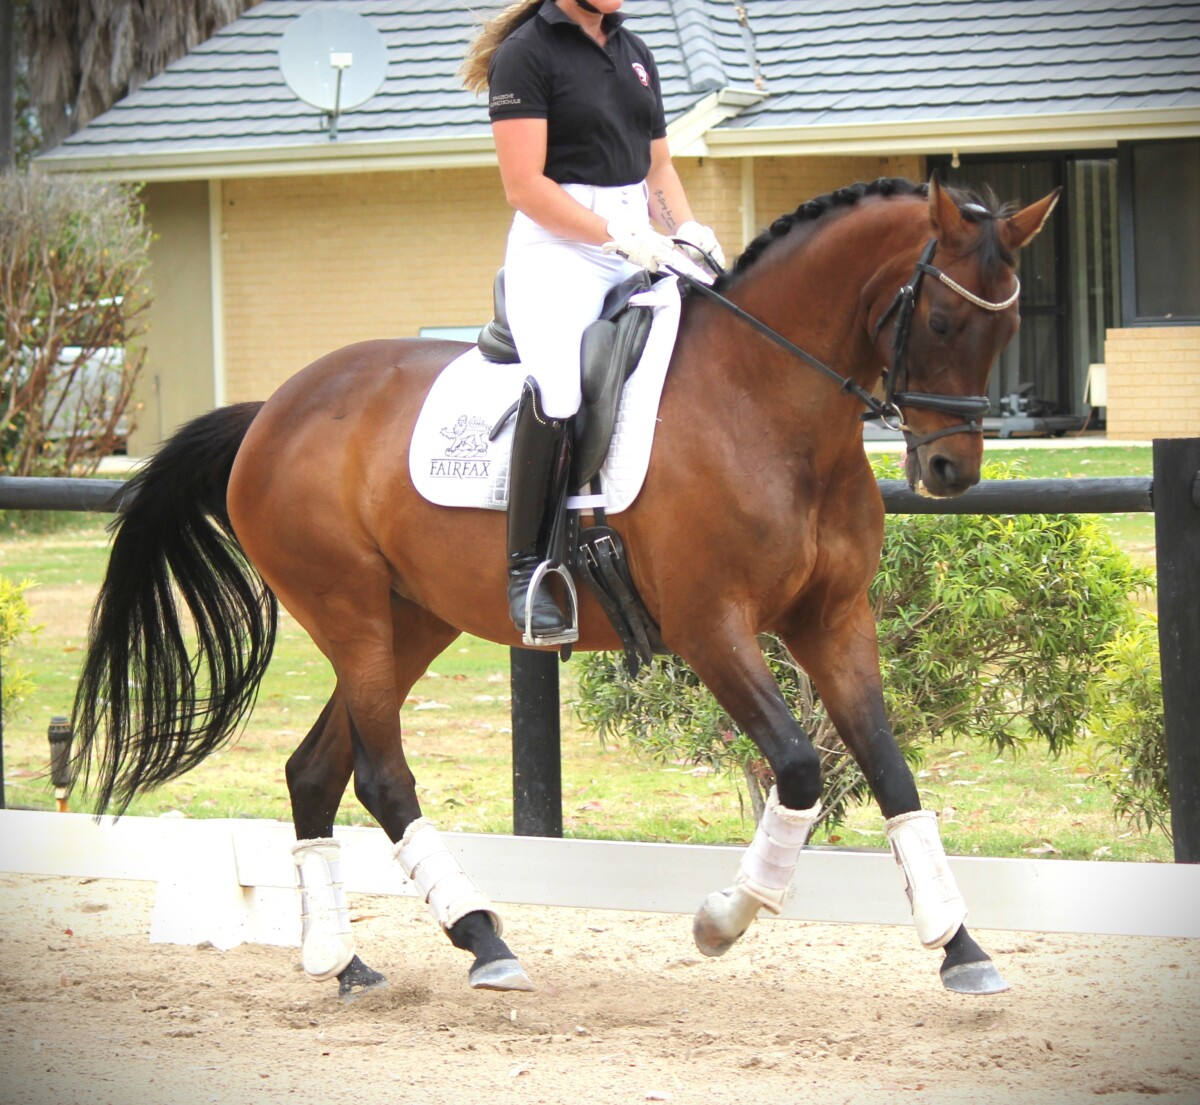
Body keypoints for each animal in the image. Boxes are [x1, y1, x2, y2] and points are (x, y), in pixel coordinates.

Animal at [71, 176, 1059, 1001]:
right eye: (941, 323)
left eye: (1009, 333)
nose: (952, 471)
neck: (767, 401)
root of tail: (272, 409)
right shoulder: (710, 628)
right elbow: (801, 764)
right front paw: (723, 919)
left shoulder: (835, 619)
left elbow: (890, 769)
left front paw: (961, 947)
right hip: (351, 614)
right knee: (383, 777)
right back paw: (481, 939)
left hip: (411, 620)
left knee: (315, 771)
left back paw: (343, 960)